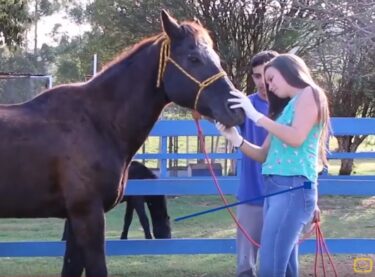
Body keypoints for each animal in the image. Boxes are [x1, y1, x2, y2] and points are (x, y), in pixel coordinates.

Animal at [0, 9, 244, 274]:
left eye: (216, 57)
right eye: (194, 58)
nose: (236, 110)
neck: (97, 122)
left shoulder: (75, 220)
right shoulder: (88, 216)